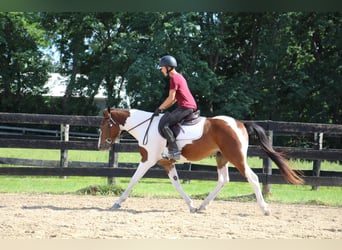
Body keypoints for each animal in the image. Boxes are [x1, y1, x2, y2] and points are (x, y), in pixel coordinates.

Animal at [97, 107, 304, 215]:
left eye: (105, 125)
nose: (100, 146)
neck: (146, 126)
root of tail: (240, 123)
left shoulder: (147, 160)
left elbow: (133, 180)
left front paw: (117, 203)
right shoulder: (167, 163)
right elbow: (177, 185)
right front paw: (191, 205)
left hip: (237, 157)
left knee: (252, 178)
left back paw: (265, 208)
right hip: (222, 157)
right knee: (223, 180)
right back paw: (203, 205)